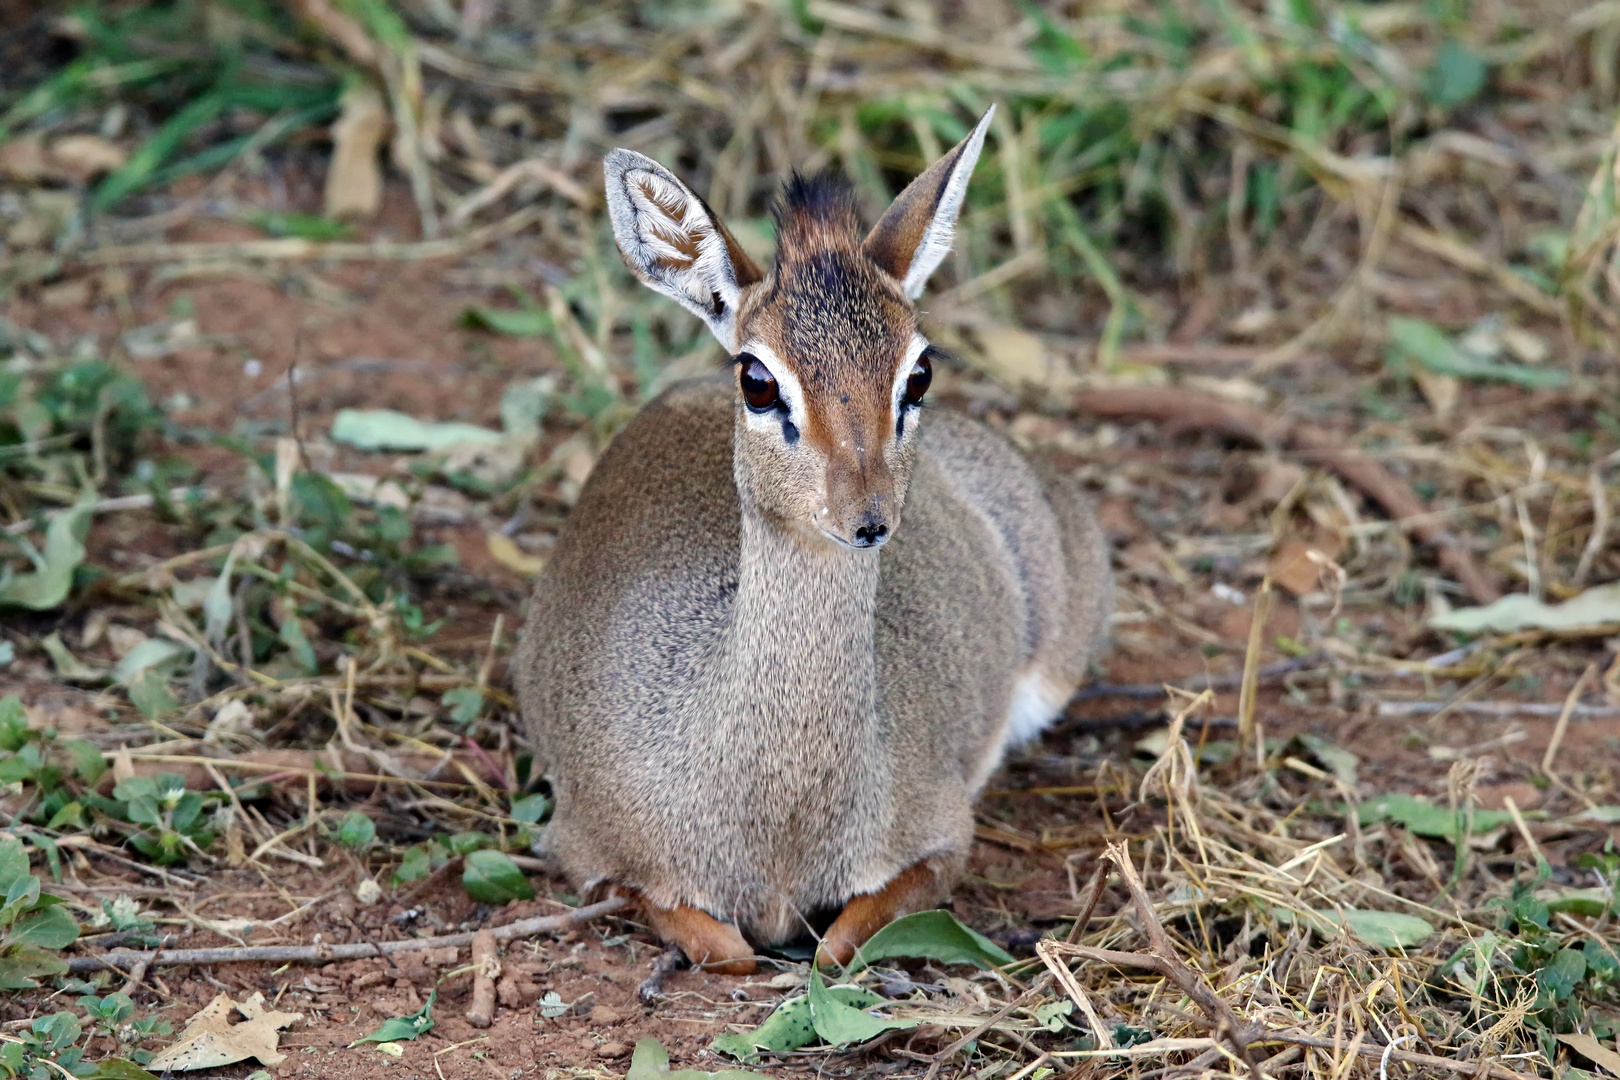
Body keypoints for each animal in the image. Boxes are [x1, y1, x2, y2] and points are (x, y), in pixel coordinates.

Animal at [518, 107, 1114, 971]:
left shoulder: (941, 840)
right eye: (758, 379)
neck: (780, 830)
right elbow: (724, 946)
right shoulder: (589, 853)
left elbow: (840, 944)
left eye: (919, 372)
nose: (867, 518)